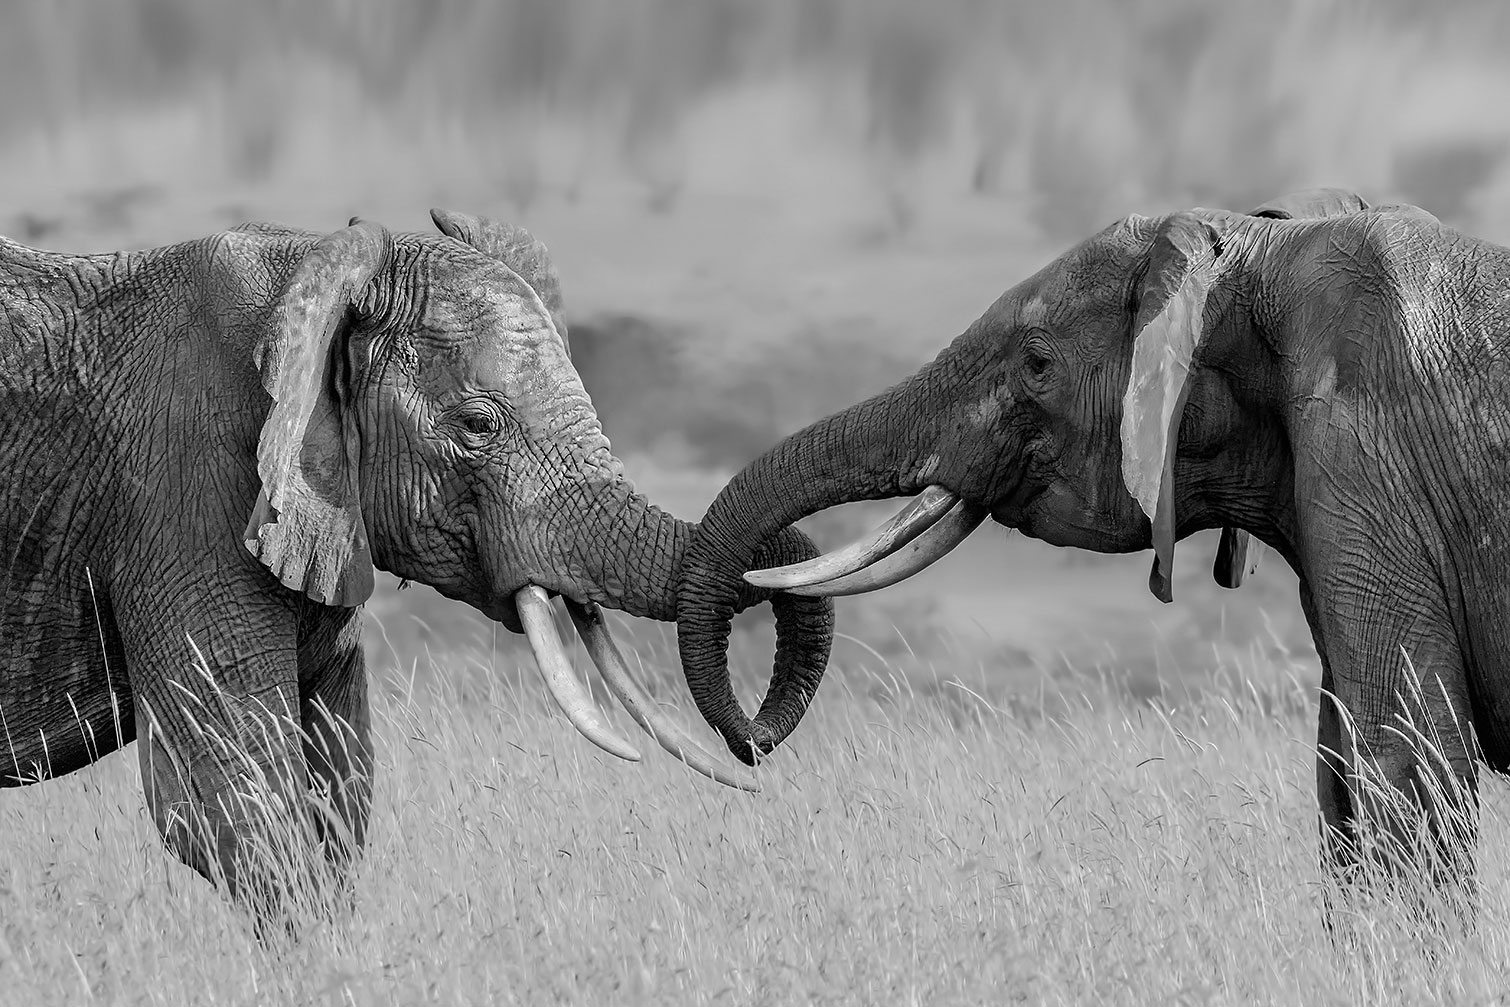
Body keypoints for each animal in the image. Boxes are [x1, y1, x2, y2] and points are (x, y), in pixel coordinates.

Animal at [0, 210, 833, 918]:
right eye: (477, 424)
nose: (753, 741)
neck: (305, 277)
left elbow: (341, 790)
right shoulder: (185, 495)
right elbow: (233, 799)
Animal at [675, 186, 1508, 897]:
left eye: (1037, 362)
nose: (754, 745)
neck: (1261, 255)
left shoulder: (1368, 458)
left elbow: (1404, 756)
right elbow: (1338, 773)